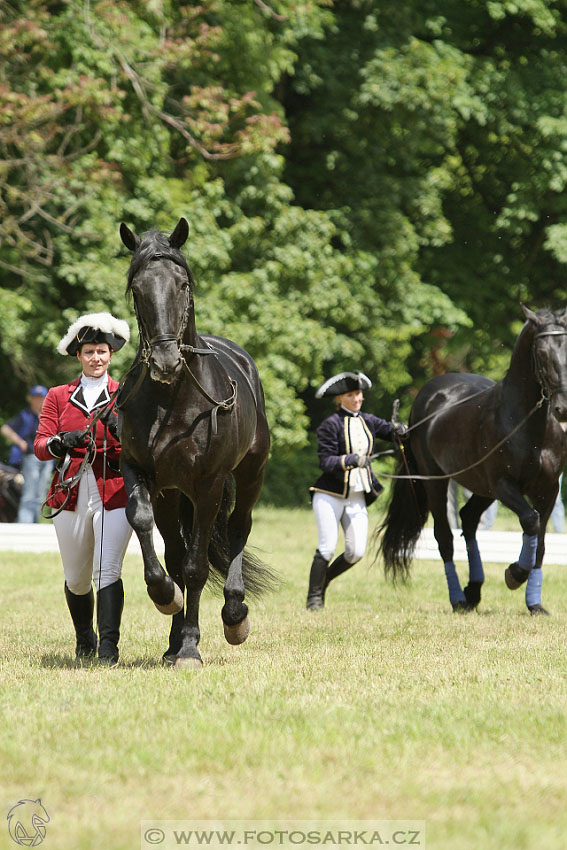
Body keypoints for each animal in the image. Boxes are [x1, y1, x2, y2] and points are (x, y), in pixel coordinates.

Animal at [118, 215, 274, 664]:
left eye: (182, 284)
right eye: (137, 289)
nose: (166, 362)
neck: (174, 399)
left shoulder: (209, 485)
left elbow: (196, 566)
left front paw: (190, 647)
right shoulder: (142, 472)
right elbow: (144, 525)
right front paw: (164, 598)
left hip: (250, 475)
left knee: (238, 528)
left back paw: (234, 615)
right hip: (173, 494)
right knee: (175, 548)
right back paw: (173, 637)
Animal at [378, 304, 567, 608]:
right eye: (541, 352)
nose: (563, 408)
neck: (525, 423)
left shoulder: (548, 489)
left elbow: (540, 541)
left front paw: (534, 604)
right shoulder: (504, 485)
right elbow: (530, 520)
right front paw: (514, 574)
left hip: (481, 487)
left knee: (467, 520)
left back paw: (474, 589)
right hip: (435, 481)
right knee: (445, 537)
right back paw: (458, 598)